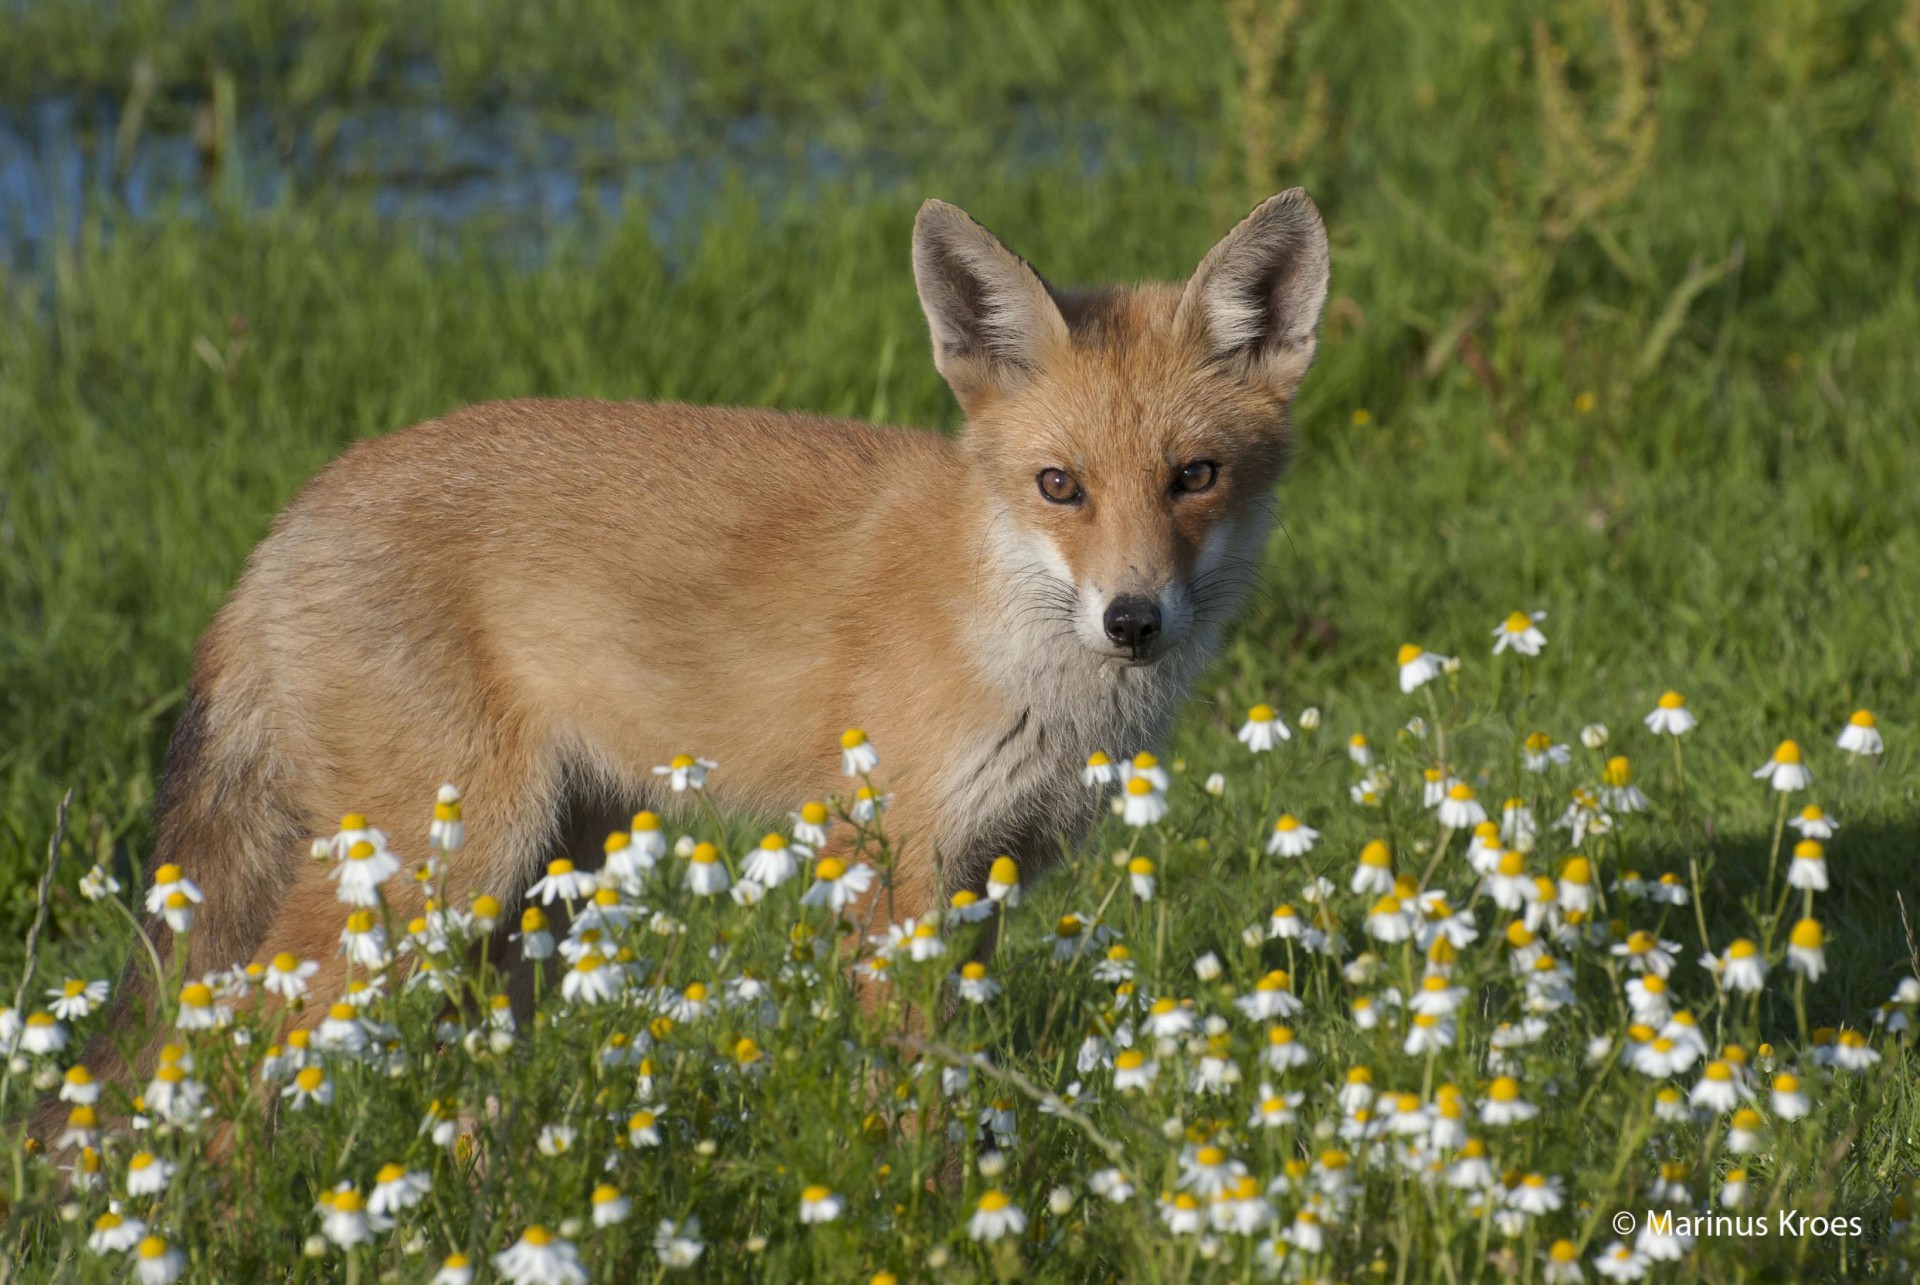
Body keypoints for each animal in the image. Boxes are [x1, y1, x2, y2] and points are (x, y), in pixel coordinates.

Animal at [52, 188, 1328, 1121]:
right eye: (1060, 486)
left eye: (1195, 477)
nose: (1133, 619)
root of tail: (287, 519)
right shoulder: (896, 873)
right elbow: (909, 1113)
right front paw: (923, 1223)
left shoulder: (986, 877)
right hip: (439, 873)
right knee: (227, 1047)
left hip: (531, 895)